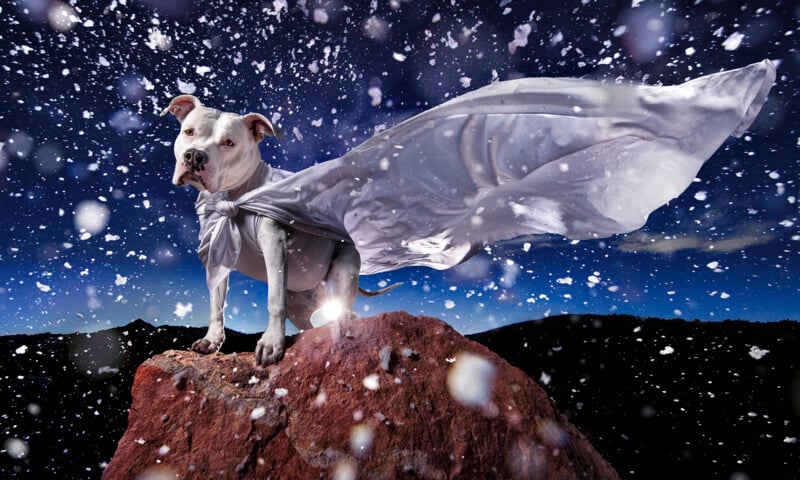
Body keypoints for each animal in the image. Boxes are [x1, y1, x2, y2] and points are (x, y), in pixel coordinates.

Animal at [160, 95, 394, 366]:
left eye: (229, 143)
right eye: (189, 132)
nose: (195, 156)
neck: (234, 198)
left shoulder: (274, 243)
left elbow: (273, 300)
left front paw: (271, 343)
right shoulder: (217, 253)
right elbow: (216, 305)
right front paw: (212, 340)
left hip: (343, 269)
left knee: (343, 309)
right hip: (298, 305)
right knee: (309, 327)